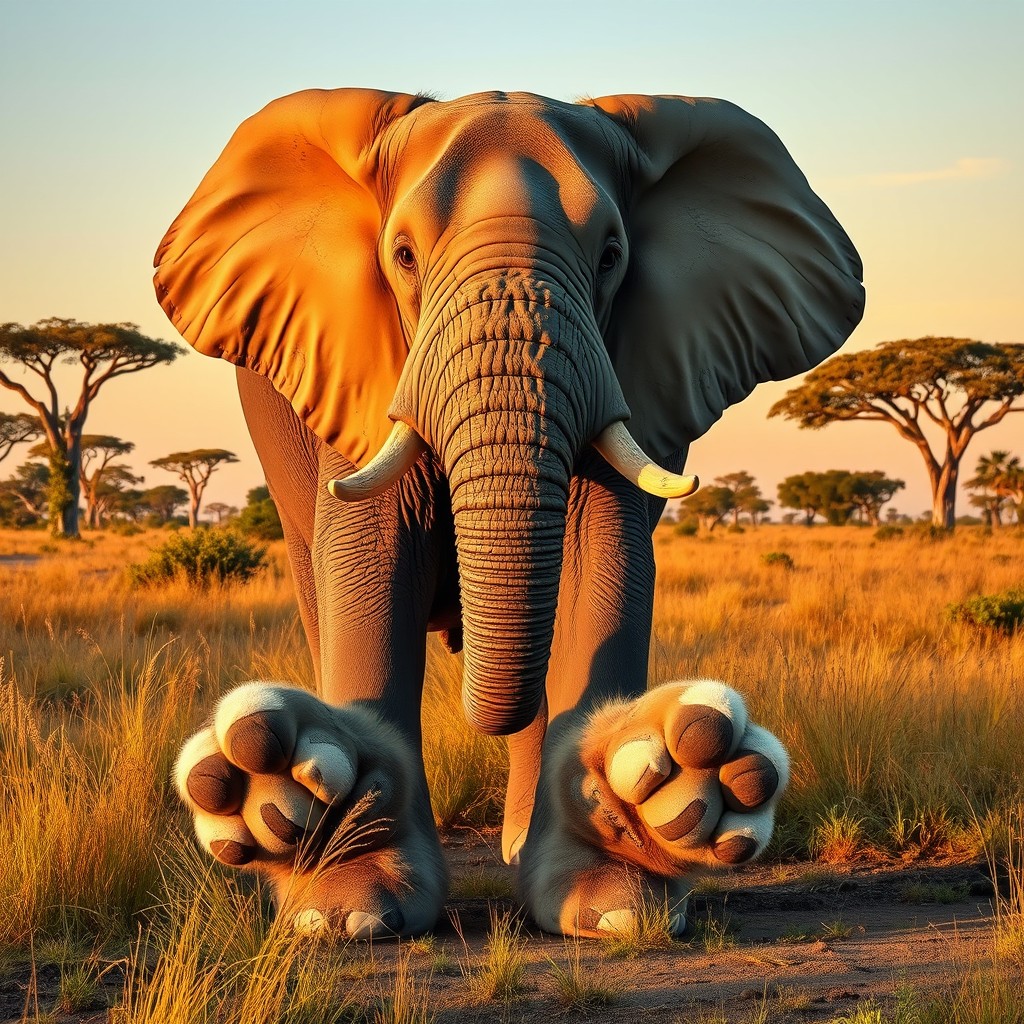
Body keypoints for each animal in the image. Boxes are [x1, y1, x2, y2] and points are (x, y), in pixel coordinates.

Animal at [157, 89, 863, 939]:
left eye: (611, 256)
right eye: (402, 256)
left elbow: (604, 560)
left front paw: (613, 904)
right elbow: (370, 561)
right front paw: (346, 911)